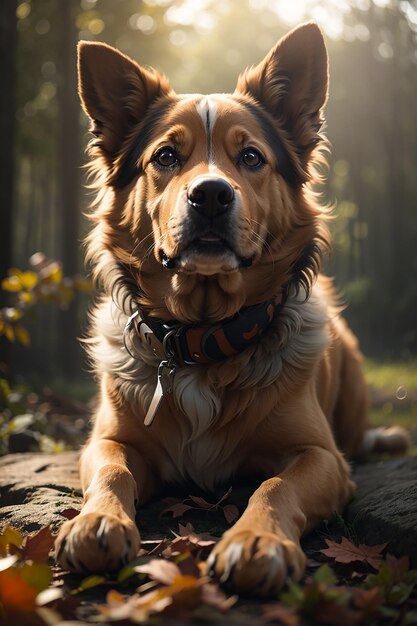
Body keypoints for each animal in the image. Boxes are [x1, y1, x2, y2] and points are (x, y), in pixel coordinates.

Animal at [53, 22, 408, 592]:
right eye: (165, 157)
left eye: (251, 158)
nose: (212, 195)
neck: (204, 340)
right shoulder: (108, 439)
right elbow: (112, 470)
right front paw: (97, 522)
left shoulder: (322, 457)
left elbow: (274, 486)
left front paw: (256, 540)